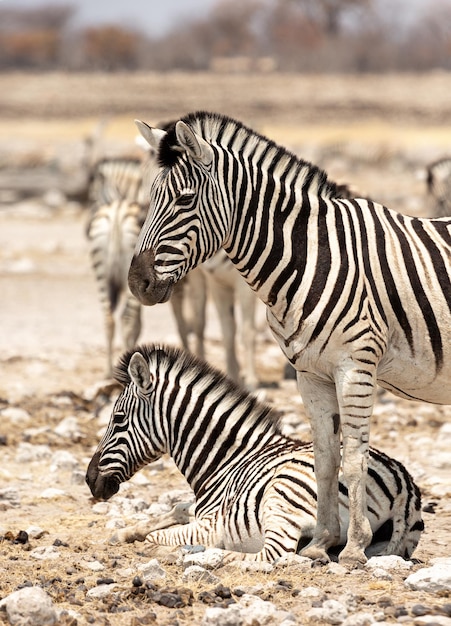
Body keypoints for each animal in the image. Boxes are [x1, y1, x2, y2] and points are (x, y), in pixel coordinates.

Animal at [86, 344, 426, 564]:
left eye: (118, 419)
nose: (89, 480)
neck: (225, 461)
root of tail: (402, 486)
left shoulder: (212, 521)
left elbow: (162, 534)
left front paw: (162, 545)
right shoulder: (199, 510)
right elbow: (173, 509)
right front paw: (124, 532)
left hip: (284, 497)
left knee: (272, 555)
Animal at [127, 111, 451, 564]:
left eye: (184, 200)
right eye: (150, 197)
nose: (136, 283)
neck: (310, 255)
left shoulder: (356, 366)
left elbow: (354, 459)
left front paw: (354, 548)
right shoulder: (310, 373)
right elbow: (326, 459)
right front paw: (320, 543)